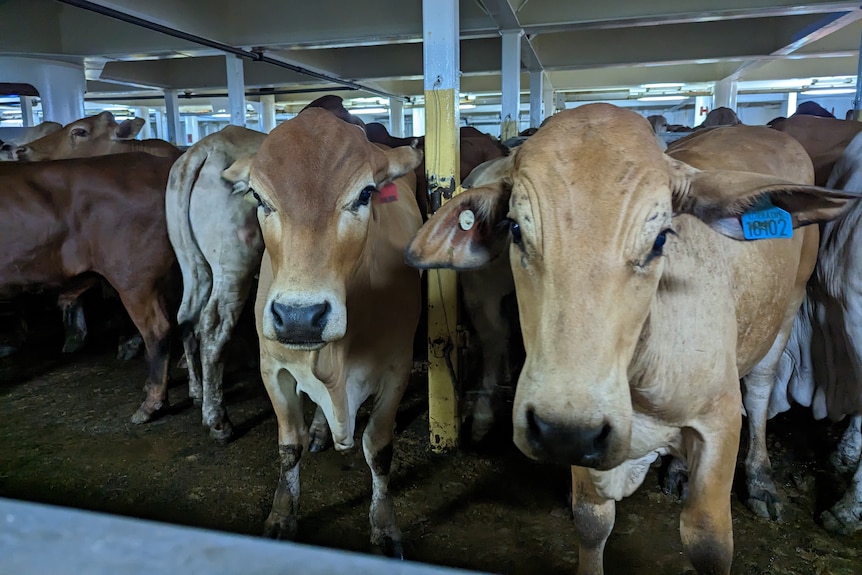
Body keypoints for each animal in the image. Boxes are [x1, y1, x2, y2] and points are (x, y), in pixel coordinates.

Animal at [165, 125, 266, 440]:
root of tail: (205, 148)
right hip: (234, 265)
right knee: (214, 324)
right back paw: (217, 419)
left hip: (192, 263)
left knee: (186, 316)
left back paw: (197, 390)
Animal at [223, 106, 426, 556]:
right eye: (259, 198)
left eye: (365, 194)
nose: (300, 317)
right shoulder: (272, 367)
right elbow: (289, 446)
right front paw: (282, 515)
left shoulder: (397, 369)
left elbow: (378, 448)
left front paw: (384, 527)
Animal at [406, 104, 856, 575]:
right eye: (513, 228)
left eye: (660, 238)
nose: (560, 430)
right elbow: (591, 522)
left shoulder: (719, 422)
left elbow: (710, 542)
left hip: (787, 310)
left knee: (761, 390)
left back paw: (761, 479)